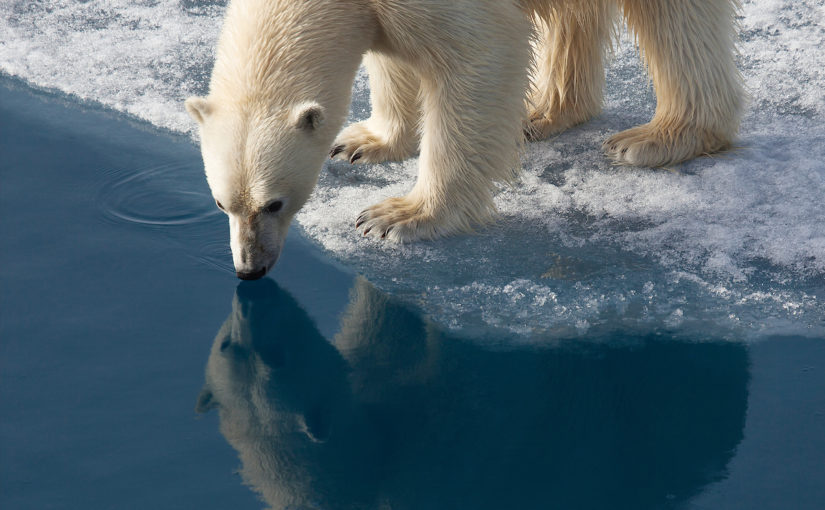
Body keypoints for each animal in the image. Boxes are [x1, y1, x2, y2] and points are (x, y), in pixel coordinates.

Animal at [185, 0, 740, 278]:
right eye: (222, 203)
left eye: (274, 203)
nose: (249, 269)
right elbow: (390, 51)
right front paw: (366, 143)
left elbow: (482, 49)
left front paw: (398, 216)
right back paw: (543, 113)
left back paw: (659, 137)